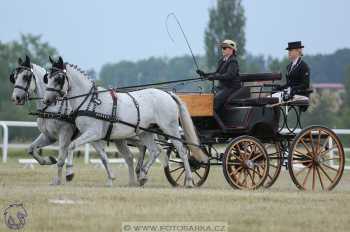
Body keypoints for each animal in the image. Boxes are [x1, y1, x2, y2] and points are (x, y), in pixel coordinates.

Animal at [43, 57, 208, 188]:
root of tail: (168, 93)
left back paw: (189, 181)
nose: (46, 100)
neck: (90, 101)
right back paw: (142, 175)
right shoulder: (93, 136)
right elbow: (103, 157)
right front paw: (111, 178)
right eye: (47, 77)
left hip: (170, 129)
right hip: (146, 132)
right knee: (155, 151)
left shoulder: (93, 132)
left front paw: (70, 173)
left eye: (58, 78)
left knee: (182, 151)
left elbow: (71, 145)